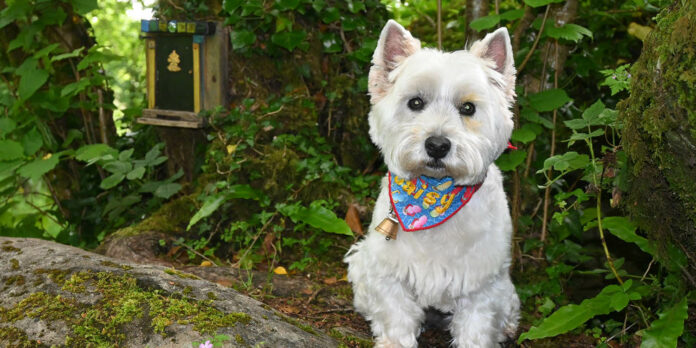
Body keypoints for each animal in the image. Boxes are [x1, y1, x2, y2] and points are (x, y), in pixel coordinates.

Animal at [346, 20, 520, 346]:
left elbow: (476, 329)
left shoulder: (481, 284)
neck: (433, 195)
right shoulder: (390, 273)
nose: (437, 145)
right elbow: (396, 319)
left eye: (468, 108)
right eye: (415, 102)